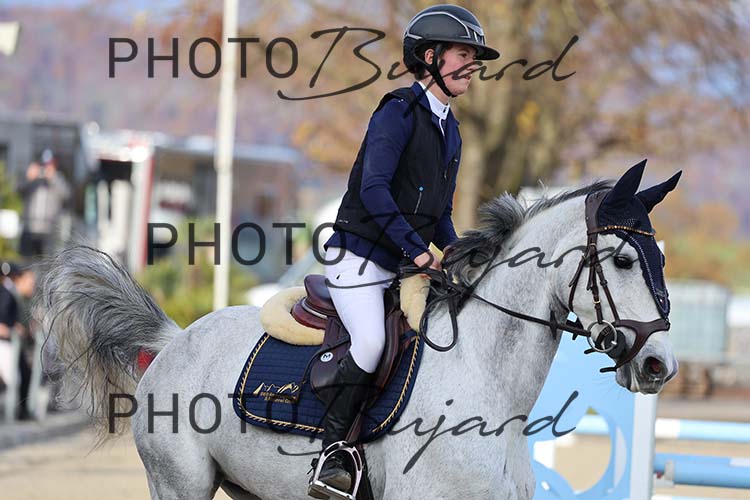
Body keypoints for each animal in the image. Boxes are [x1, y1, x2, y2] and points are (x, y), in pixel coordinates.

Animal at [34, 162, 680, 499]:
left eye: (661, 258)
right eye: (625, 260)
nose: (659, 366)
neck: (485, 380)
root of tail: (174, 341)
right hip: (179, 485)